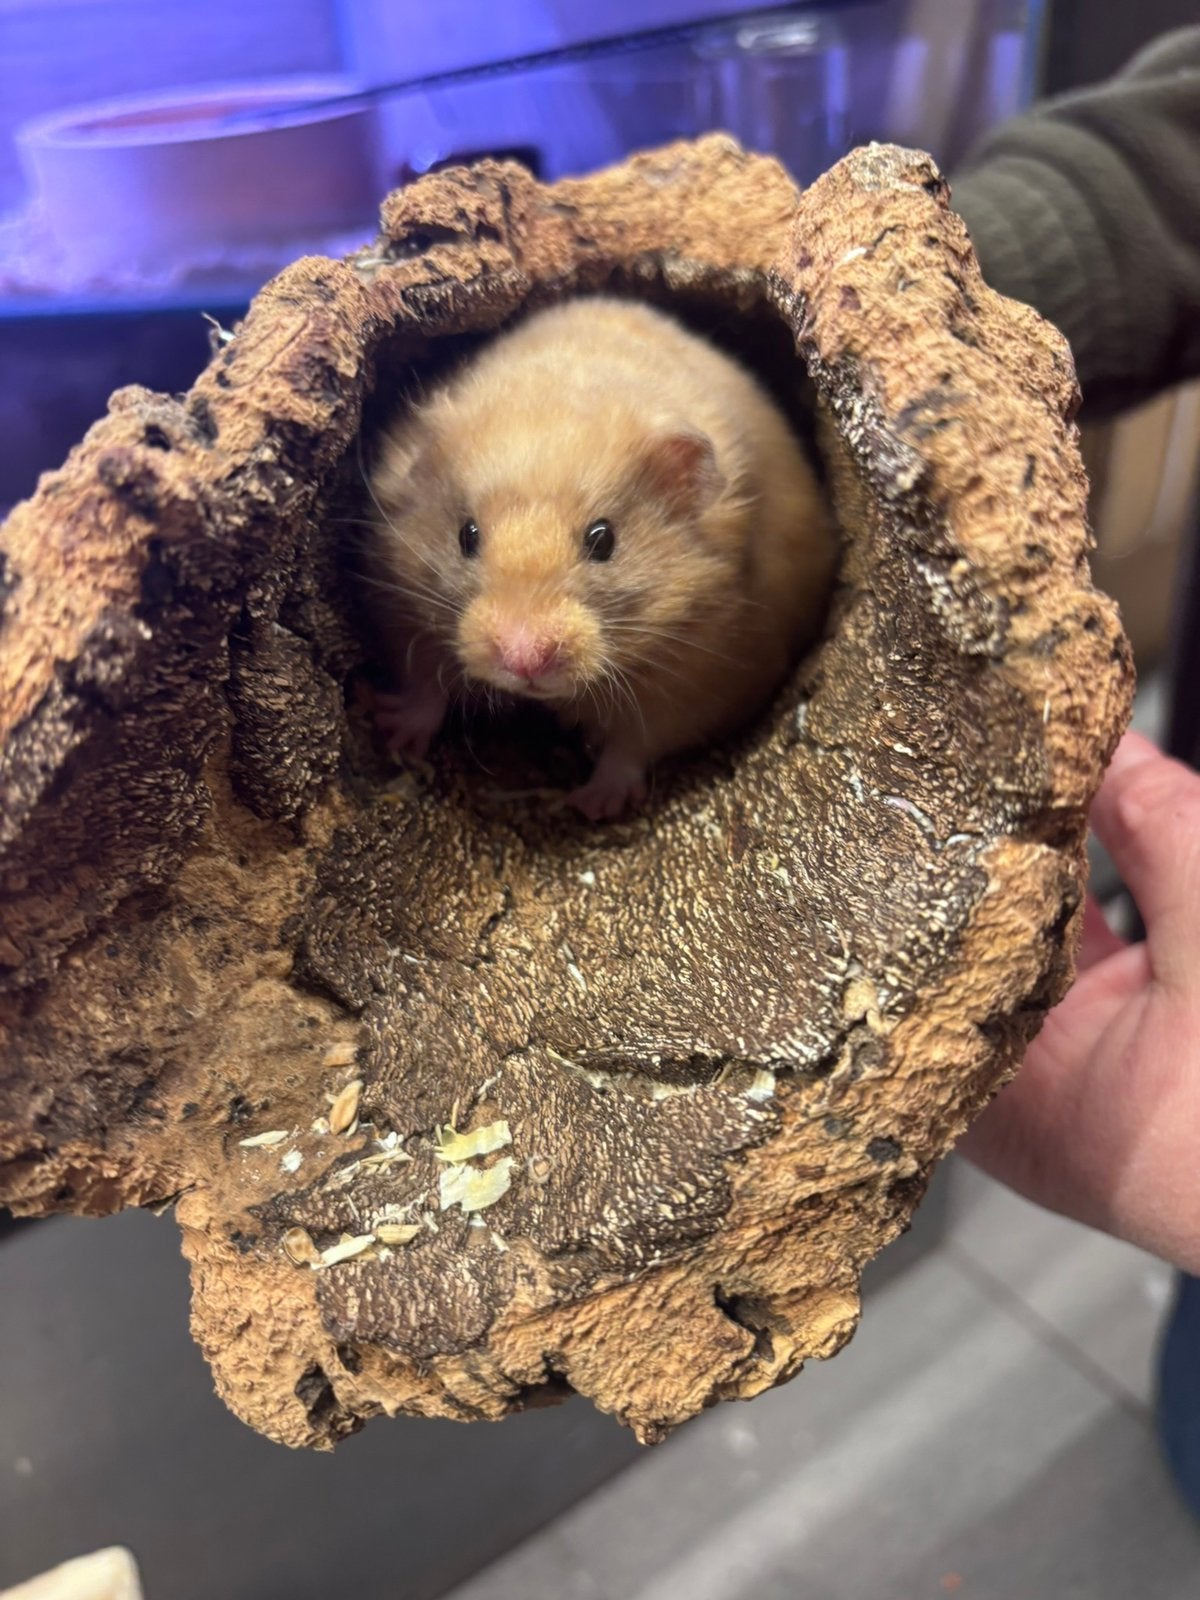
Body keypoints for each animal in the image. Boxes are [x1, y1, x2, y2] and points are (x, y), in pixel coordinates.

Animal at [363, 295, 836, 819]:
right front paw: (393, 735)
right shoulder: (401, 609)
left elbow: (637, 743)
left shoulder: (706, 674)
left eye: (604, 540)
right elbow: (423, 684)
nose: (523, 660)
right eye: (467, 535)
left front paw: (593, 806)